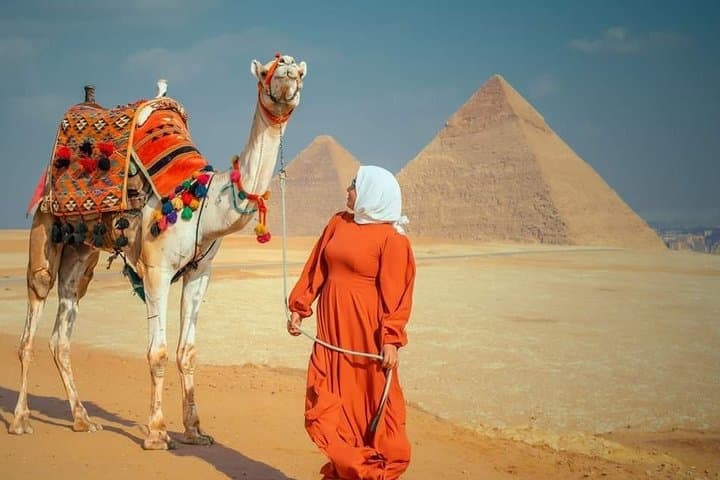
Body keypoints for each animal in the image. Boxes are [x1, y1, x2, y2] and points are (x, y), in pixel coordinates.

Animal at [9, 53, 307, 450]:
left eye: (299, 72)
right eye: (265, 73)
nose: (287, 72)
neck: (204, 201)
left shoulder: (200, 272)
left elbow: (187, 352)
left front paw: (195, 431)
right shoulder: (155, 270)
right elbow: (158, 352)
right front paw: (156, 432)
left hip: (81, 250)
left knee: (63, 328)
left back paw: (82, 420)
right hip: (45, 226)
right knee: (32, 319)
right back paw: (20, 421)